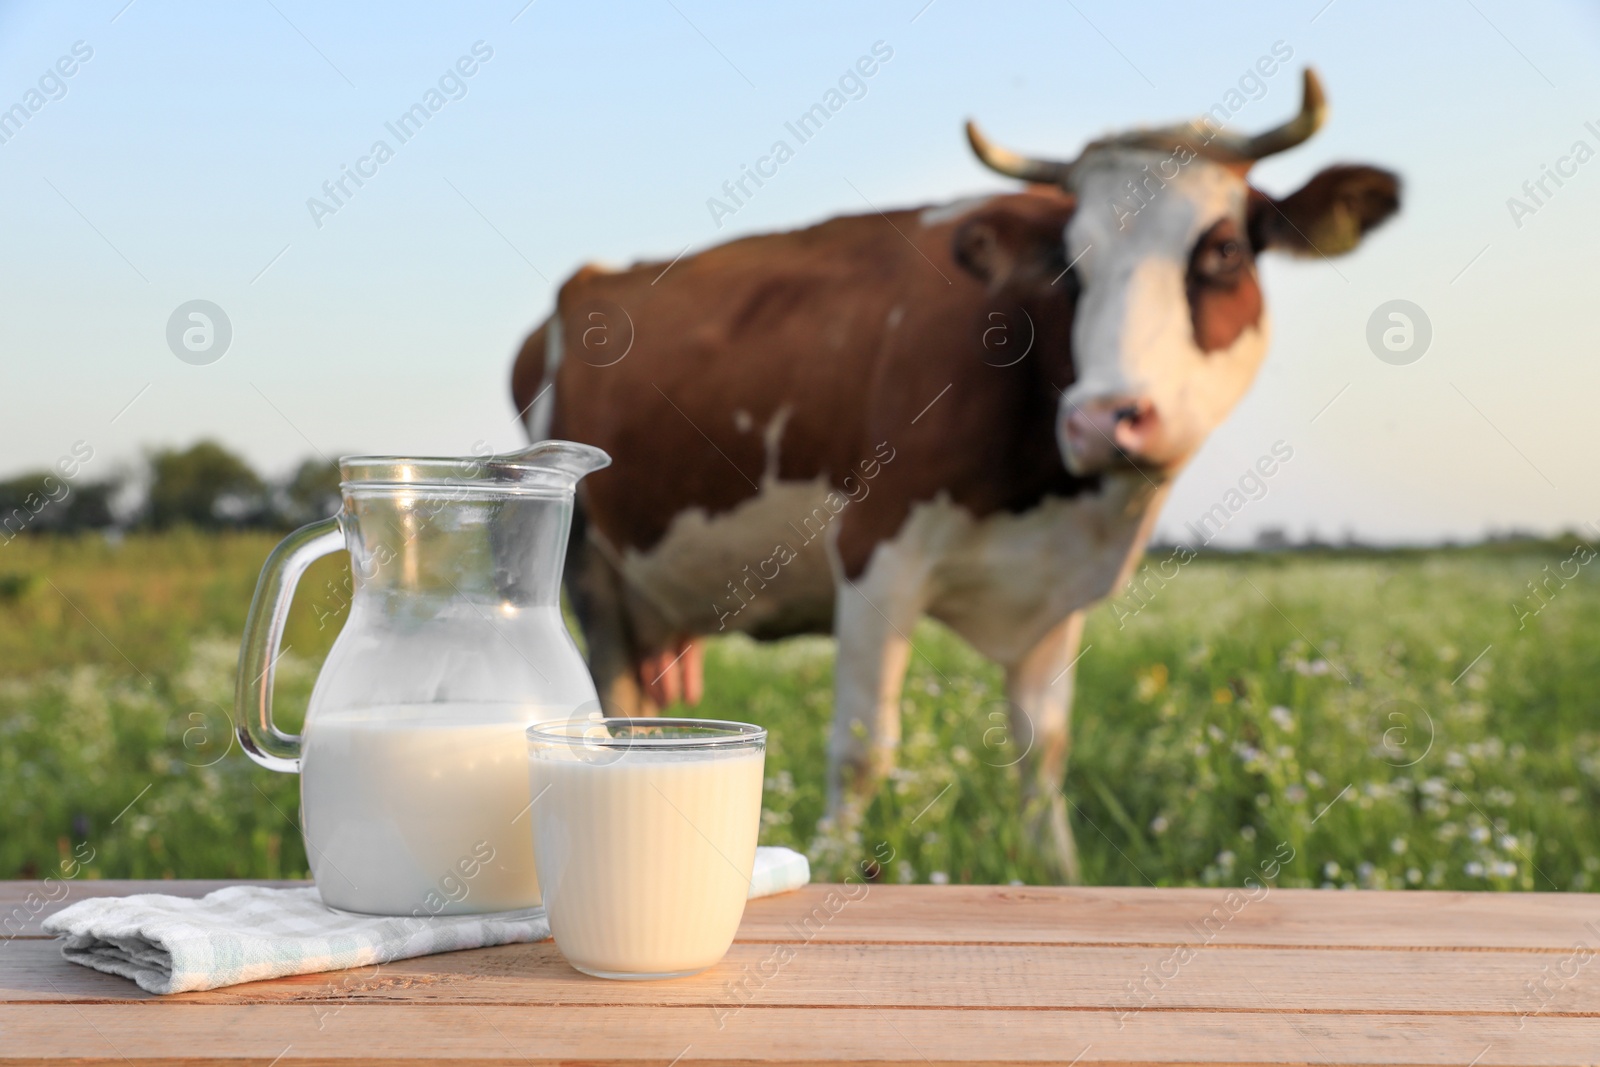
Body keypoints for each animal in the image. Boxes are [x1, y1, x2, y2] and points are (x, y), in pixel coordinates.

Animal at [515, 70, 1401, 883]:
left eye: (1223, 249)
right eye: (1072, 264)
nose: (1101, 418)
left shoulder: (1056, 589)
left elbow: (1045, 748)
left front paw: (1056, 871)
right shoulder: (875, 552)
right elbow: (862, 750)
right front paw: (829, 867)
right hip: (590, 569)